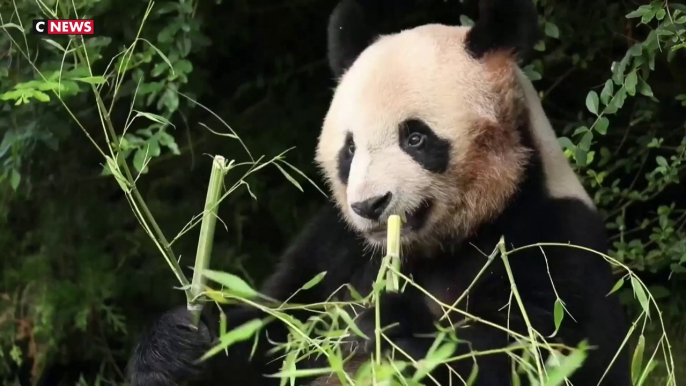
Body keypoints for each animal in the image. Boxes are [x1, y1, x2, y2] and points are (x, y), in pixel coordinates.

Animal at [126, 0, 632, 384]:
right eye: (349, 149)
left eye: (416, 138)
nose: (371, 206)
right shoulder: (333, 249)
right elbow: (272, 332)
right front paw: (174, 346)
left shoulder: (552, 239)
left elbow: (555, 358)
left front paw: (393, 327)